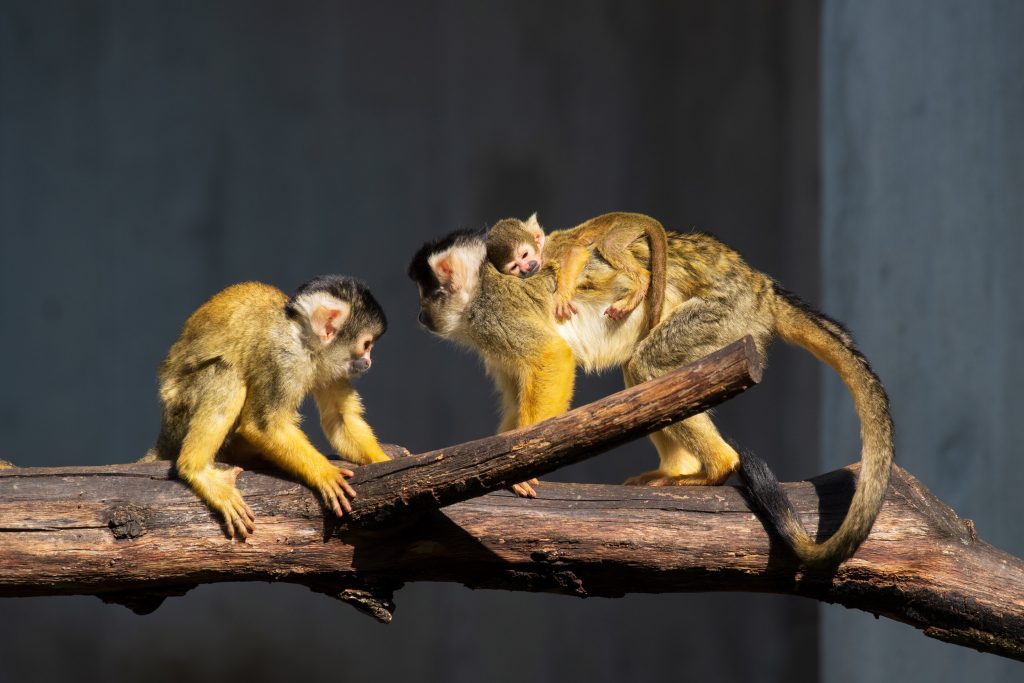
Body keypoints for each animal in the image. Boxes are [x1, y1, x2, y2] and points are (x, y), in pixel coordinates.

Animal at [140, 276, 387, 540]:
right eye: (366, 345)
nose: (369, 362)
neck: (302, 340)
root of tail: (163, 434)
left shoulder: (333, 365)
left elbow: (339, 417)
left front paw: (383, 459)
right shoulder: (281, 357)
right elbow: (263, 427)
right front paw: (325, 474)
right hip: (178, 411)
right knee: (227, 372)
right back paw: (196, 470)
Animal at [483, 211, 667, 331]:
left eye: (525, 255)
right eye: (515, 267)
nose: (526, 268)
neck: (542, 251)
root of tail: (636, 216)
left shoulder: (550, 251)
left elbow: (574, 253)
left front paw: (561, 296)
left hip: (626, 228)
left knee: (608, 244)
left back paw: (642, 281)